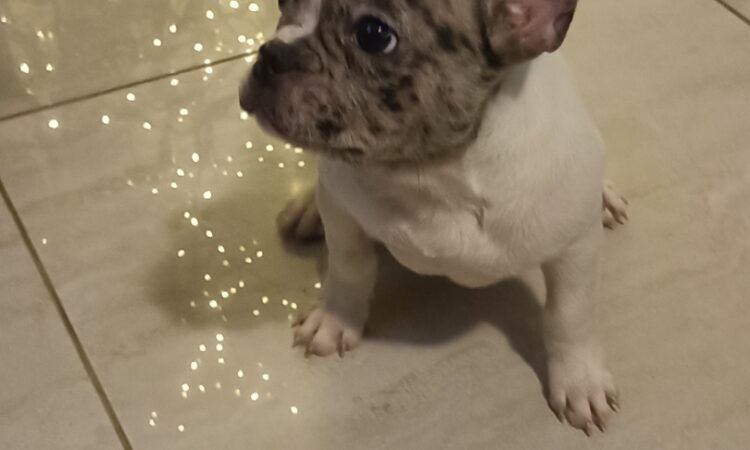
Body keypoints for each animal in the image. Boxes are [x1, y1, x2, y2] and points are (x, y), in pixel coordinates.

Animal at [240, 0, 628, 435]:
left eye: (373, 34)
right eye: (282, 5)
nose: (270, 55)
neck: (434, 171)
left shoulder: (574, 248)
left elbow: (569, 315)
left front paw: (579, 380)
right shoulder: (343, 214)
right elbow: (349, 270)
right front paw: (336, 321)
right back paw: (307, 206)